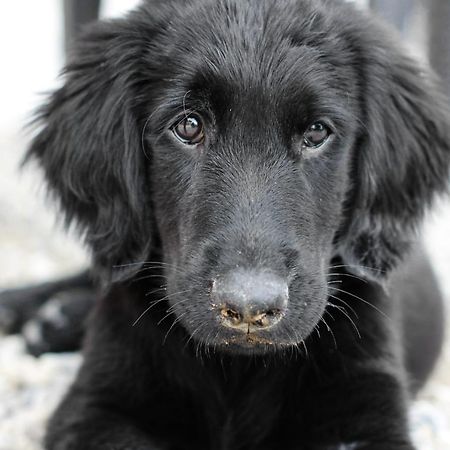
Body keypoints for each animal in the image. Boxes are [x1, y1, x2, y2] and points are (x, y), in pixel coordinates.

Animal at [16, 0, 450, 448]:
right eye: (188, 125)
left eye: (317, 132)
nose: (248, 308)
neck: (237, 369)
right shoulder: (97, 404)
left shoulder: (363, 408)